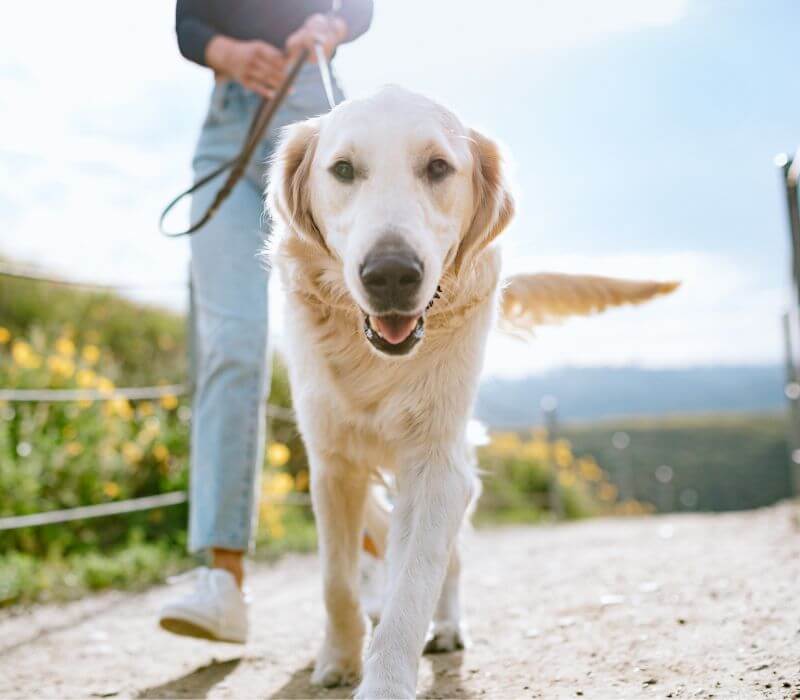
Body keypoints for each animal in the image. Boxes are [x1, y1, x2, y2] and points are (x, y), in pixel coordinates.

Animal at [268, 85, 676, 696]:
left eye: (438, 167)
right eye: (342, 169)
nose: (391, 274)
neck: (376, 362)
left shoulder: (438, 465)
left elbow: (414, 585)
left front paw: (385, 679)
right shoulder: (332, 464)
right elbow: (335, 580)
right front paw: (338, 658)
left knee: (448, 561)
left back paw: (446, 626)